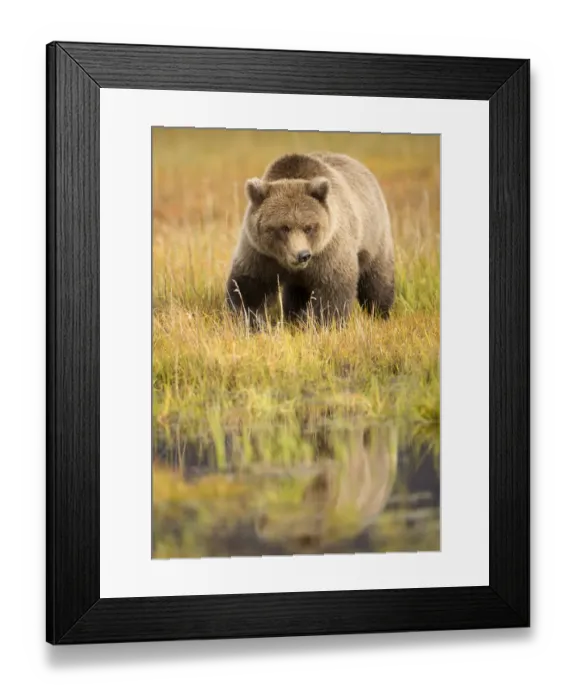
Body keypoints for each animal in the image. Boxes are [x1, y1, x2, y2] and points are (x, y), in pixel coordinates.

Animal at [225, 151, 394, 326]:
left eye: (309, 227)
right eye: (283, 227)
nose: (302, 255)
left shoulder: (329, 249)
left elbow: (332, 289)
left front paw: (323, 322)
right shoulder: (259, 253)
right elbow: (249, 287)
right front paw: (250, 320)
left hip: (374, 236)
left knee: (377, 279)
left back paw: (381, 313)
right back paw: (293, 314)